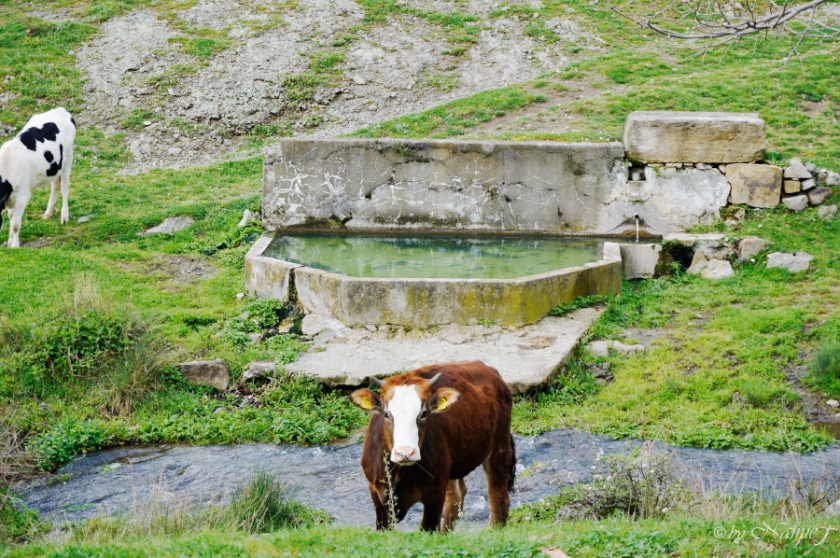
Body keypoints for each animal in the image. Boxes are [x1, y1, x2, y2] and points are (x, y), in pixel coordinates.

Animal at [0, 108, 76, 248]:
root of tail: (61, 110)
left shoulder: (22, 197)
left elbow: (15, 224)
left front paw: (15, 246)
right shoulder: (11, 198)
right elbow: (11, 218)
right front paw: (10, 241)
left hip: (68, 158)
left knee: (65, 187)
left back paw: (64, 216)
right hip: (55, 167)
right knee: (55, 186)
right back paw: (48, 213)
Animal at [350, 364, 520, 532]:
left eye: (424, 413)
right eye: (386, 414)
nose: (405, 452)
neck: (399, 474)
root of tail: (488, 368)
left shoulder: (435, 492)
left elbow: (428, 528)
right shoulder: (376, 493)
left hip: (500, 445)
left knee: (498, 499)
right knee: (456, 496)